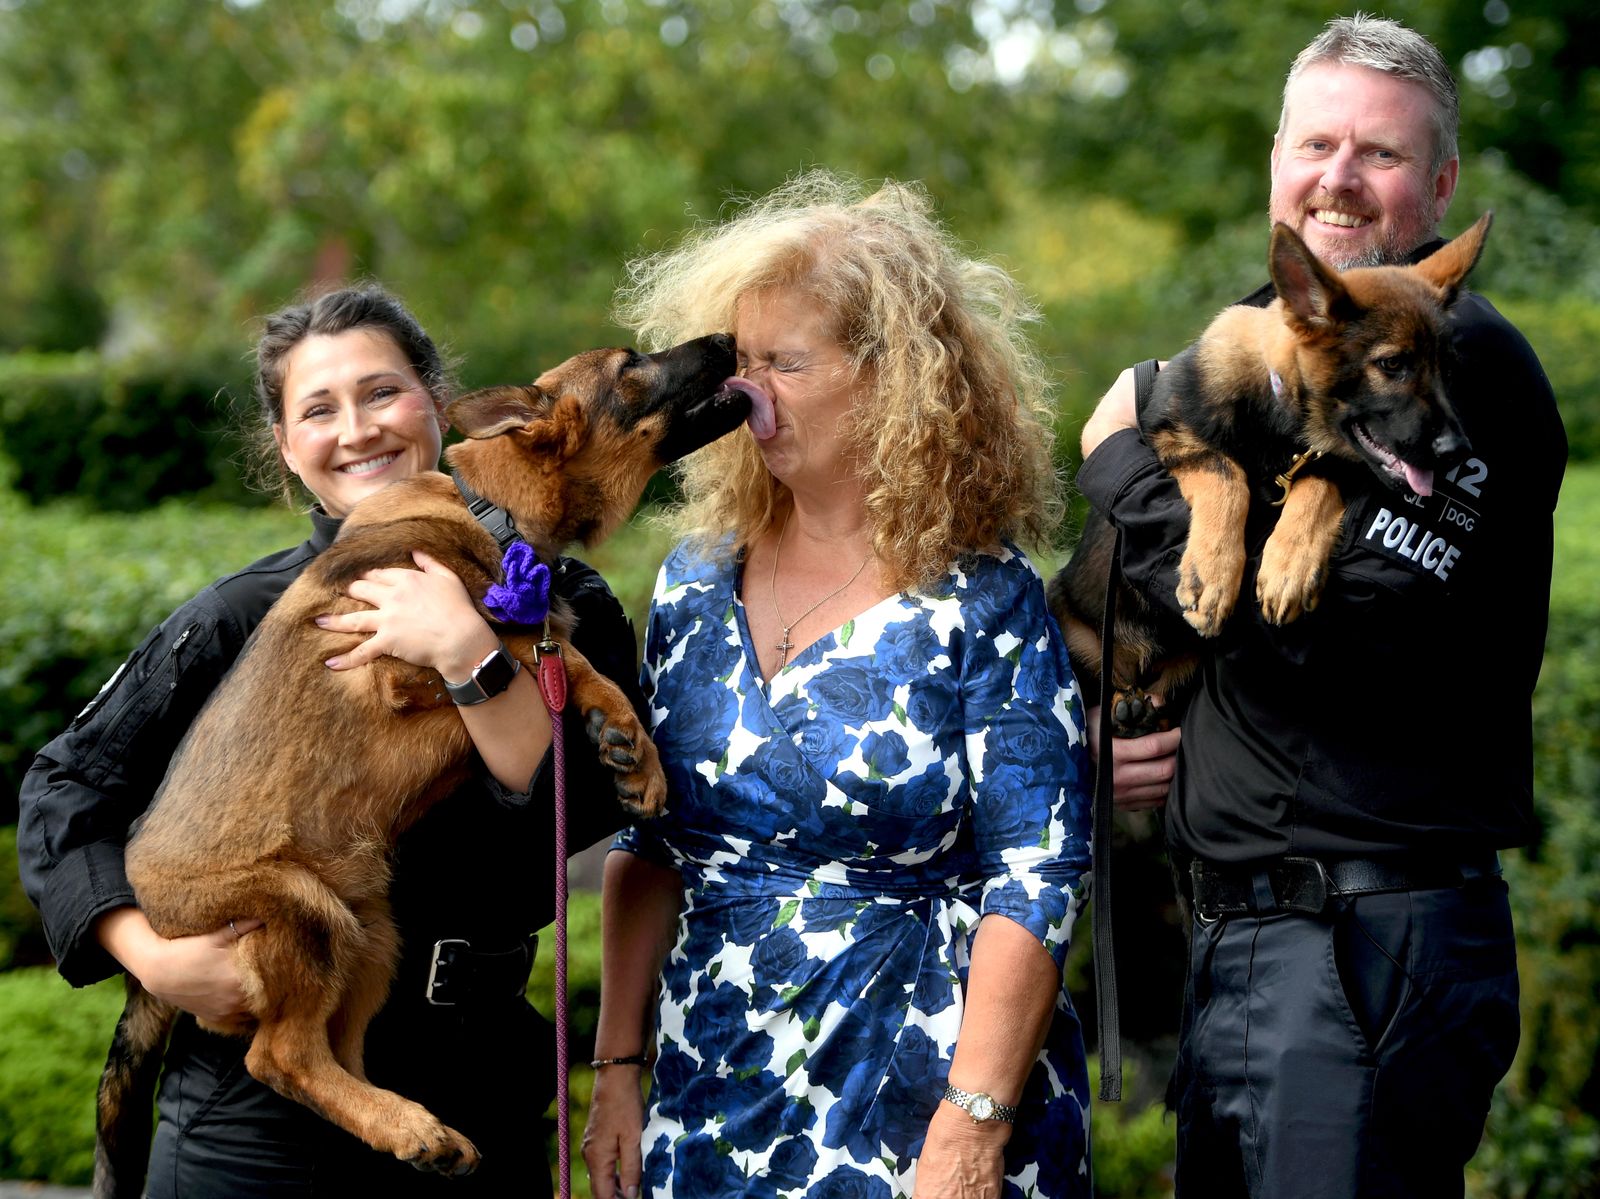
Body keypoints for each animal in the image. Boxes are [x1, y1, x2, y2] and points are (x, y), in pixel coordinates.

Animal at [93, 334, 748, 1197]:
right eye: (630, 364)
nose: (730, 340)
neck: (492, 511)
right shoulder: (405, 661)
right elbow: (545, 648)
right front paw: (630, 742)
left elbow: (554, 650)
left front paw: (618, 740)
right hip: (305, 909)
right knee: (281, 1055)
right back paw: (407, 1124)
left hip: (373, 931)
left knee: (335, 1057)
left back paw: (411, 1127)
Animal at [1049, 216, 1484, 739]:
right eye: (1392, 364)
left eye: (1449, 369)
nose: (1459, 452)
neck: (1281, 423)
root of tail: (1137, 670)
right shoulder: (1169, 436)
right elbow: (1228, 475)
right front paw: (1212, 574)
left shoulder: (1327, 463)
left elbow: (1315, 487)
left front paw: (1290, 566)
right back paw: (1123, 706)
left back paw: (1138, 711)